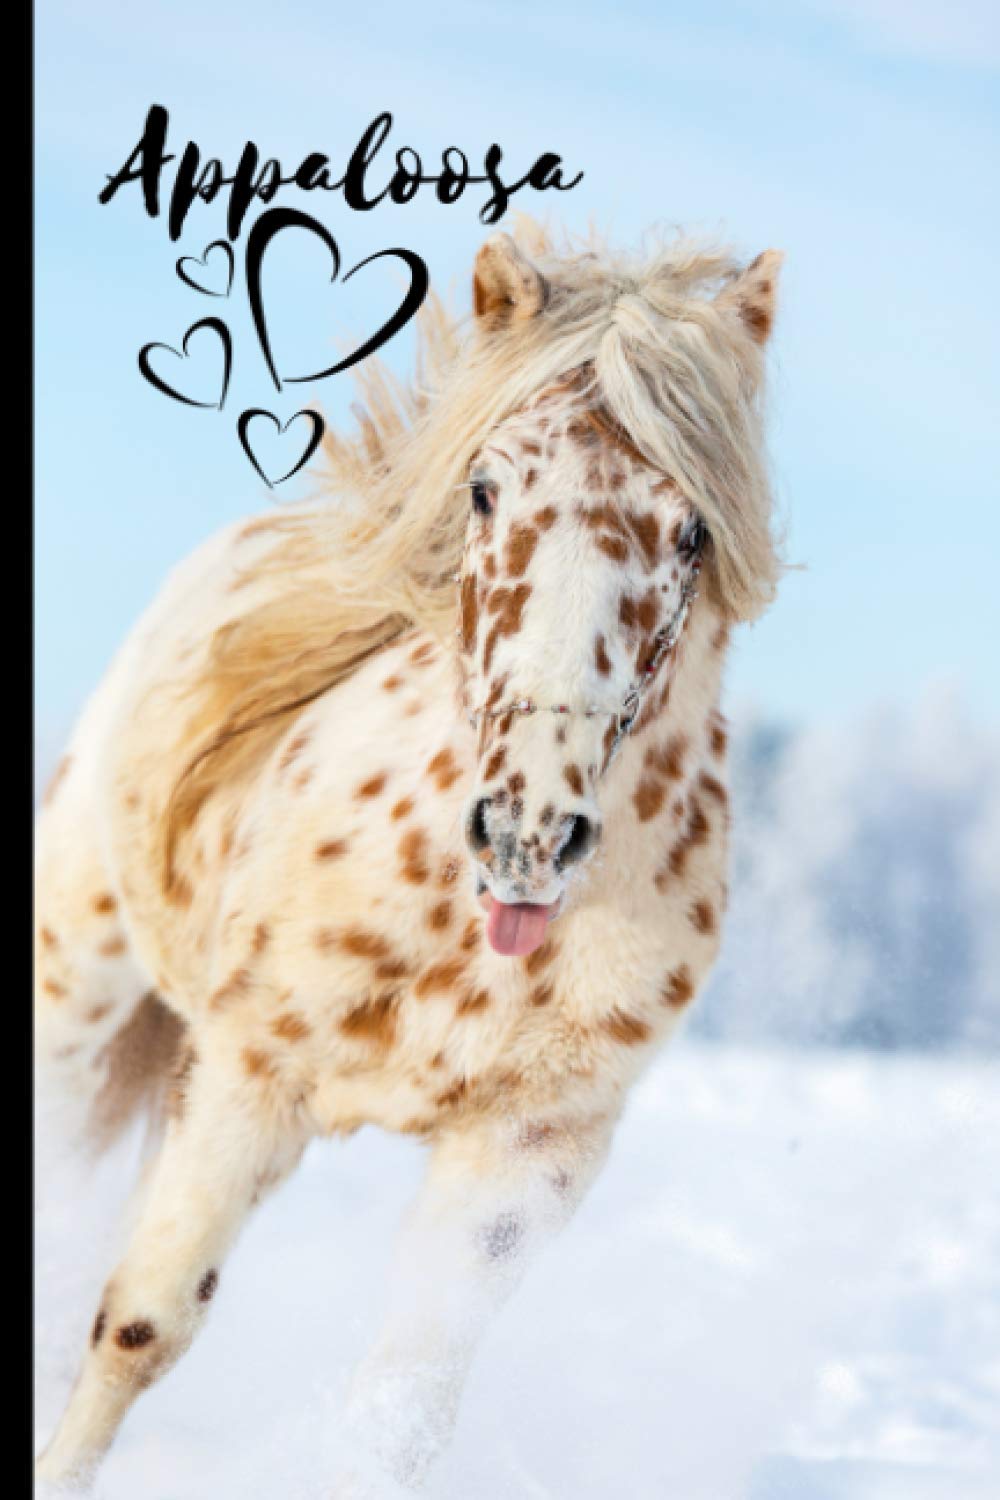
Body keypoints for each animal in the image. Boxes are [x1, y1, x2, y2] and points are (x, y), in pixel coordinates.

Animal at [34, 220, 783, 1493]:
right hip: (76, 985)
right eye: (484, 488)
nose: (528, 831)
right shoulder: (246, 1076)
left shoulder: (524, 1155)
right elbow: (140, 1327)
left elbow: (401, 1408)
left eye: (690, 530)